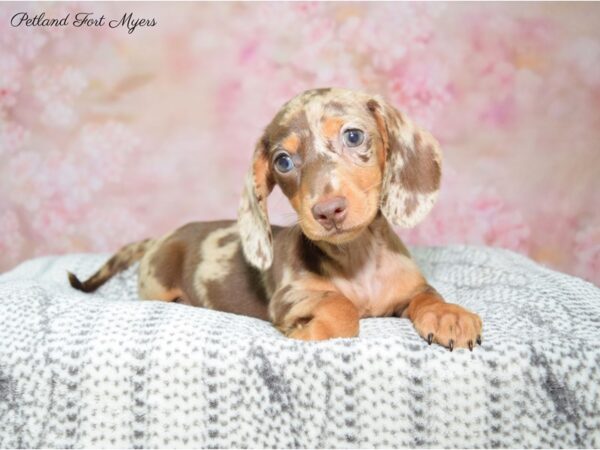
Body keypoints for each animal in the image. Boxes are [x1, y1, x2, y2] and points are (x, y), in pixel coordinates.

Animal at [69, 87, 482, 348]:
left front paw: (449, 315)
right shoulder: (290, 298)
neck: (357, 258)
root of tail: (160, 238)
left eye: (353, 136)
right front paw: (319, 330)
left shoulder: (409, 290)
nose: (328, 211)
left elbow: (428, 295)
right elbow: (340, 304)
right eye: (283, 161)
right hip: (156, 288)